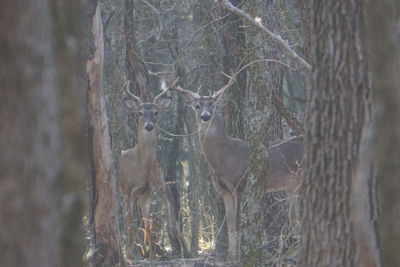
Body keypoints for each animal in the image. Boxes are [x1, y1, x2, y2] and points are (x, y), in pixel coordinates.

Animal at [119, 82, 172, 260]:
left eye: (155, 112)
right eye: (140, 113)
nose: (149, 126)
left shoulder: (148, 193)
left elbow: (148, 226)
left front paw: (152, 256)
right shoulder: (126, 190)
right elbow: (129, 224)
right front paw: (128, 254)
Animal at [173, 83, 304, 262]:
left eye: (213, 105)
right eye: (197, 106)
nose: (206, 116)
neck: (225, 158)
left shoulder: (240, 184)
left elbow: (236, 224)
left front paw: (237, 257)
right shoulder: (224, 191)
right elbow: (229, 226)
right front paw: (230, 257)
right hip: (291, 187)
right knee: (295, 219)